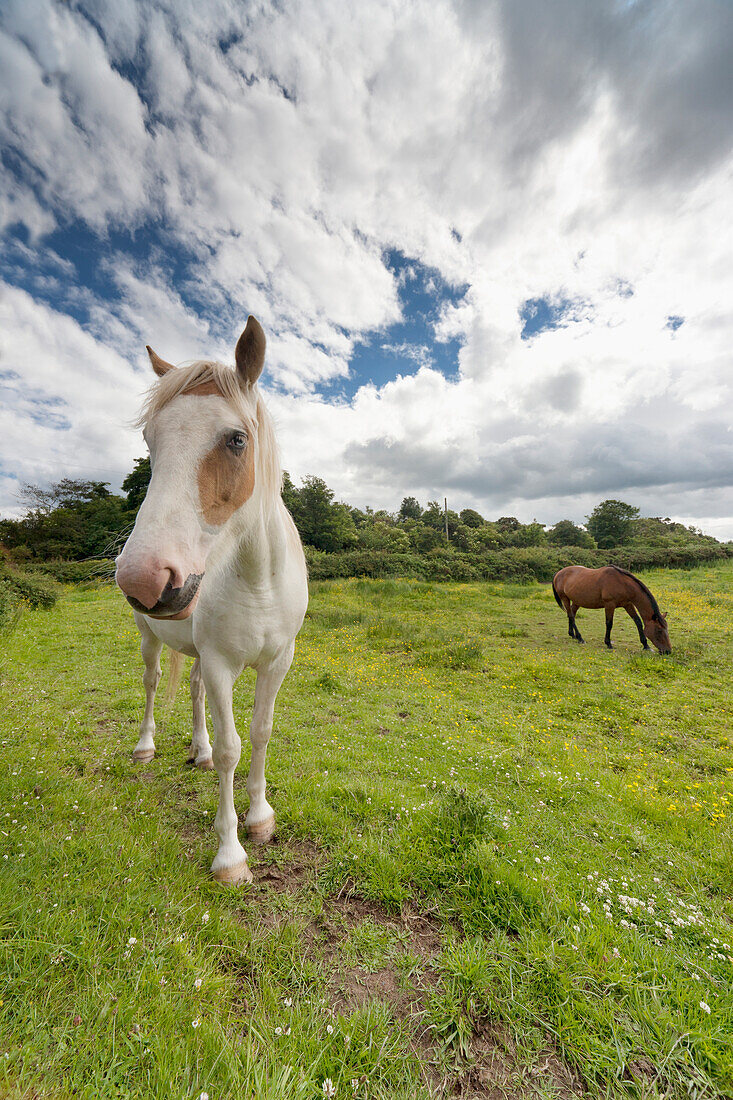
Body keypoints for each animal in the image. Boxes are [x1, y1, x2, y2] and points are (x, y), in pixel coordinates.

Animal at [115, 319, 308, 884]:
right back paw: (146, 746)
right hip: (149, 639)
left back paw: (195, 751)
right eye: (150, 441)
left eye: (236, 440)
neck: (258, 578)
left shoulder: (277, 662)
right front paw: (229, 855)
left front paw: (260, 817)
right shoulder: (223, 664)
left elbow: (261, 734)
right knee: (154, 682)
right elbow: (230, 749)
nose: (143, 579)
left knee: (195, 691)